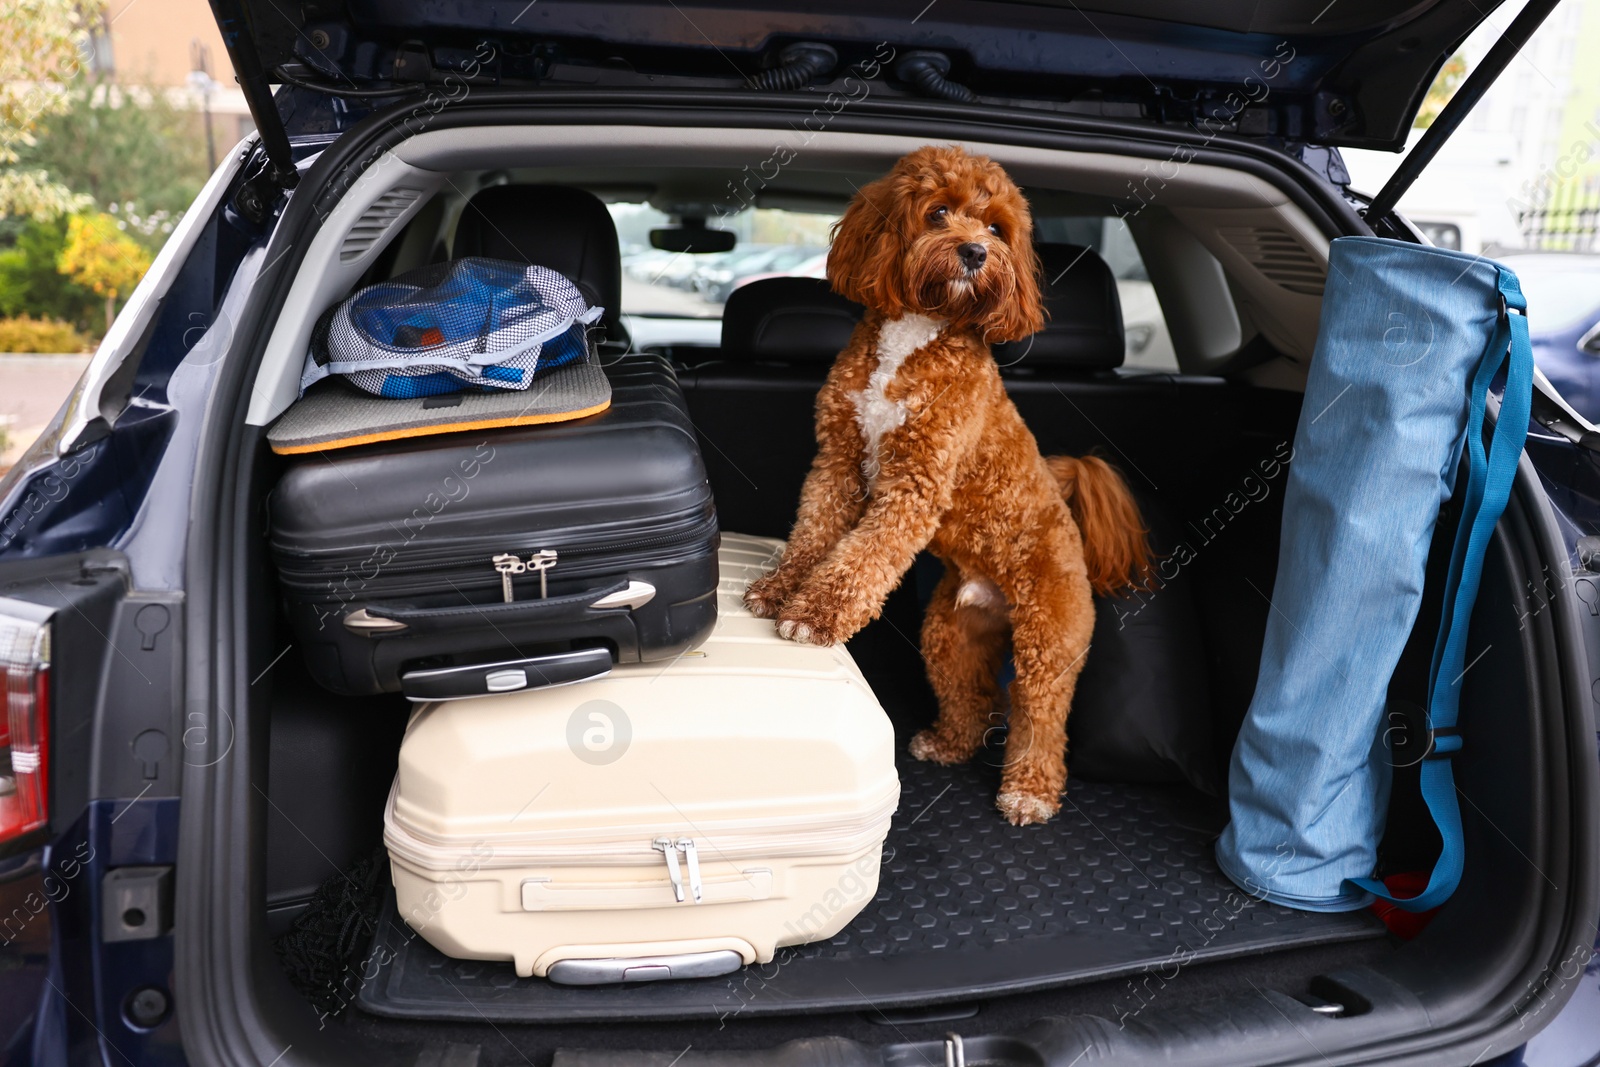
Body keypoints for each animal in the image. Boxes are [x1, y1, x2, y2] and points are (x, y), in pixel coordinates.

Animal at [748, 143, 1152, 825]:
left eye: (997, 228)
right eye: (938, 212)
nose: (975, 253)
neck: (919, 329)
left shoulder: (917, 482)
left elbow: (863, 557)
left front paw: (814, 615)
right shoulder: (838, 462)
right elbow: (814, 533)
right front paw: (780, 591)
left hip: (1049, 639)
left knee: (1040, 718)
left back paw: (1029, 791)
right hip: (949, 634)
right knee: (972, 695)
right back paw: (948, 744)